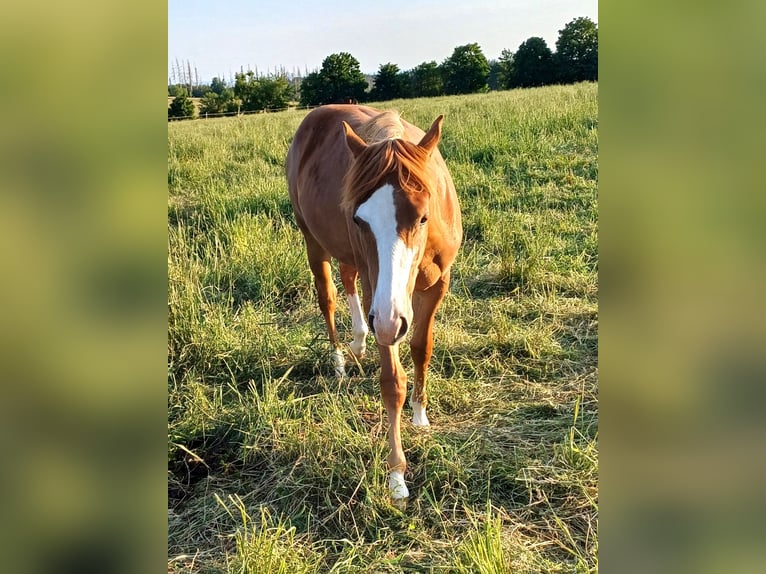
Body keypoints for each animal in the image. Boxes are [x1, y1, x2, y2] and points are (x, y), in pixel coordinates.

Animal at [286, 105, 462, 500]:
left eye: (423, 216)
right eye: (359, 218)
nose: (386, 322)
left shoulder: (436, 286)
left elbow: (422, 347)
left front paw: (420, 415)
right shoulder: (379, 296)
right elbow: (392, 382)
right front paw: (397, 476)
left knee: (347, 278)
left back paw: (359, 340)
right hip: (312, 241)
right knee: (328, 297)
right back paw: (339, 361)